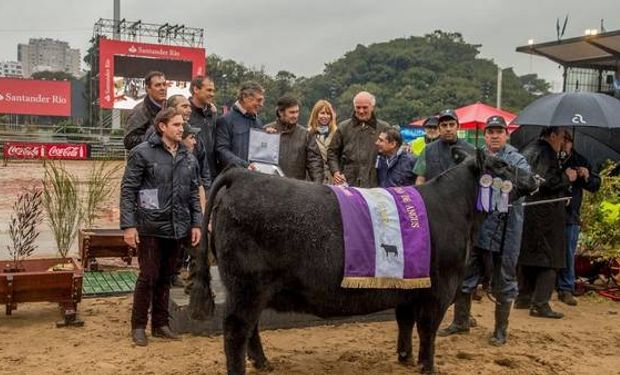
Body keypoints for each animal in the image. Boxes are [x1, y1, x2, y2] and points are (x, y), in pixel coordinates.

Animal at [189, 148, 536, 374]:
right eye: (503, 165)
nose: (536, 177)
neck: (454, 209)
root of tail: (240, 175)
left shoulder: (409, 285)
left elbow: (405, 321)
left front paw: (405, 357)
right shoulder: (440, 288)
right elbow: (428, 329)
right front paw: (427, 366)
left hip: (251, 289)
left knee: (251, 328)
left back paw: (263, 363)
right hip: (247, 285)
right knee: (236, 329)